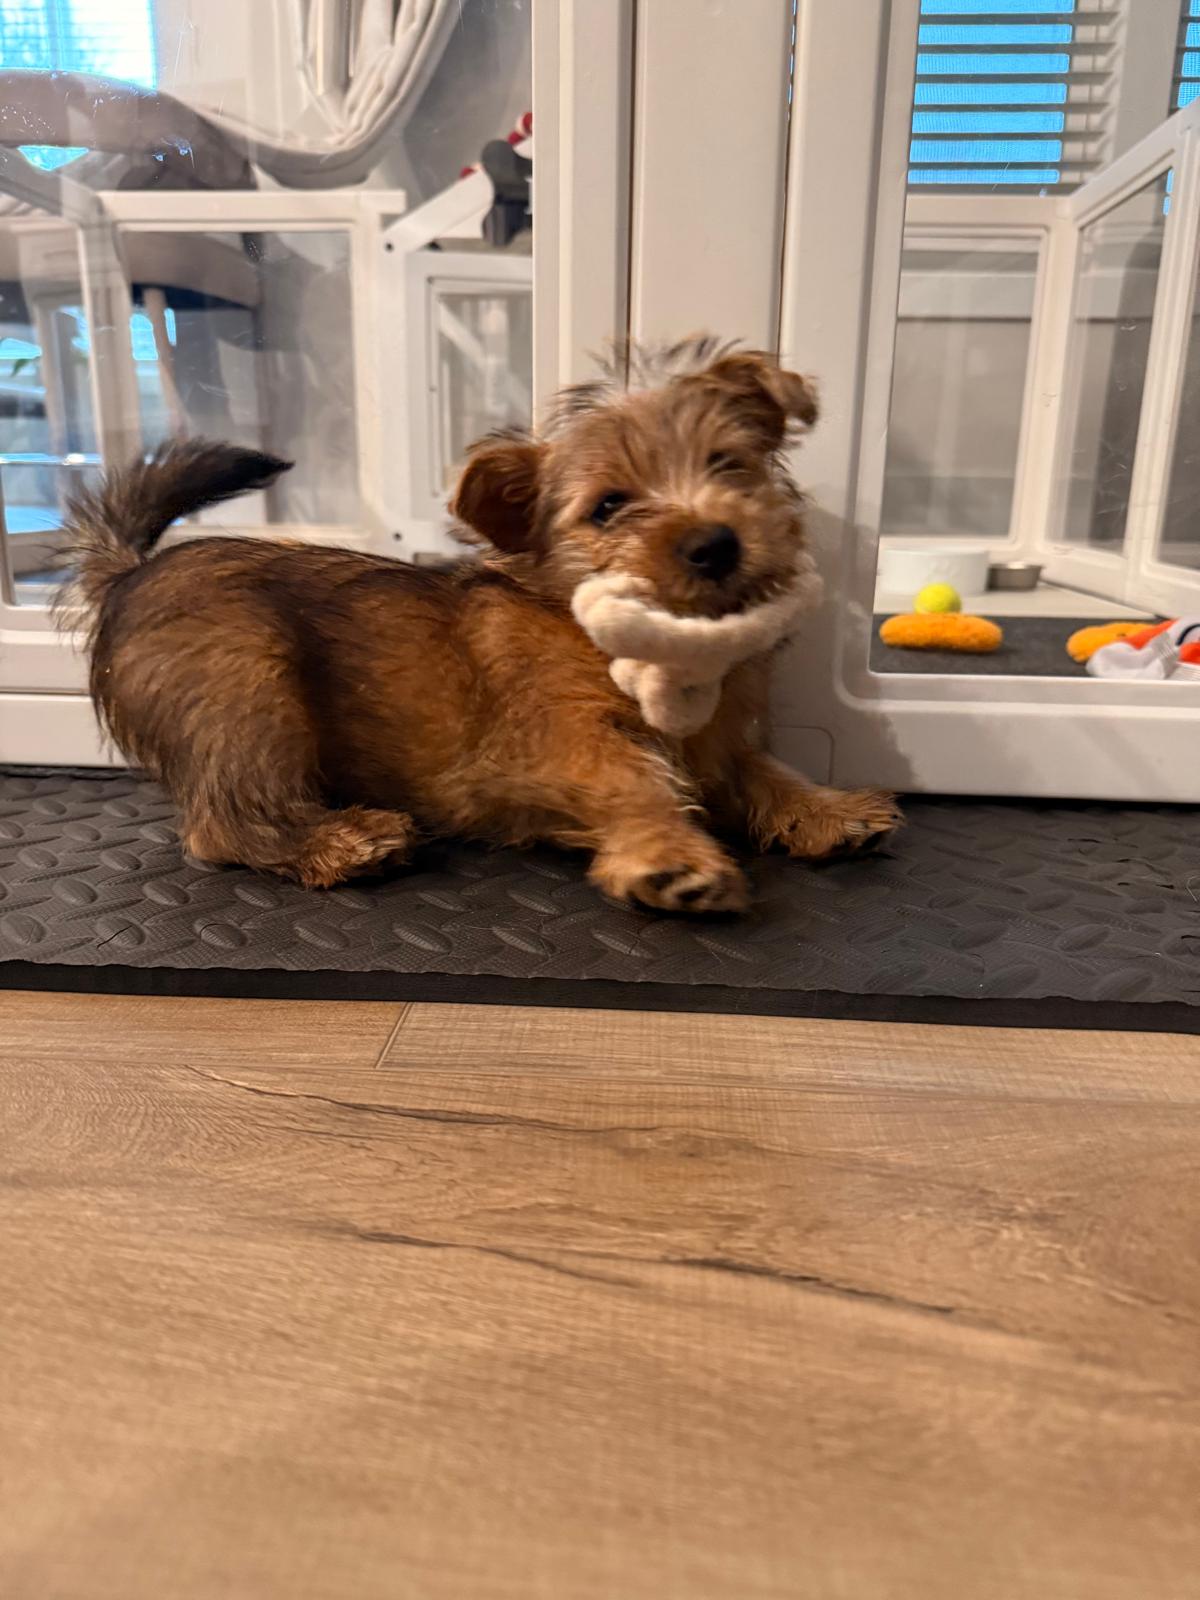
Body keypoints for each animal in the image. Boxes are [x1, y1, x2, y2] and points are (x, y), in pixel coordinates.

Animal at [61, 337, 900, 912]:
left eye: (729, 465)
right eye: (608, 507)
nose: (715, 544)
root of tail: (126, 571)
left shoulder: (719, 748)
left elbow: (765, 769)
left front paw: (828, 811)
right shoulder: (563, 739)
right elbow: (635, 783)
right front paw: (667, 853)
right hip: (249, 689)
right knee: (223, 821)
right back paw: (342, 841)